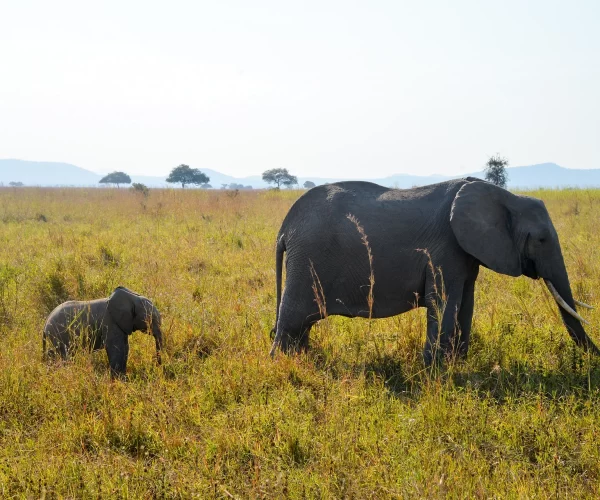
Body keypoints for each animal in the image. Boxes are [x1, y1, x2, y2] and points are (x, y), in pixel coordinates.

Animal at [270, 178, 596, 366]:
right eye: (541, 240)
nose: (595, 356)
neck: (505, 196)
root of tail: (284, 229)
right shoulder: (446, 248)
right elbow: (444, 302)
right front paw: (436, 370)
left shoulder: (466, 253)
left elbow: (466, 302)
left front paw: (457, 364)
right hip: (305, 261)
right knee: (292, 320)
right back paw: (283, 364)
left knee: (302, 324)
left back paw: (303, 360)